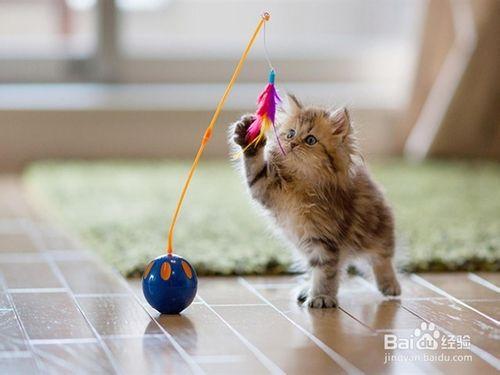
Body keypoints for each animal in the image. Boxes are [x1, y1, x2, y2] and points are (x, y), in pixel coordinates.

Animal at [231, 94, 402, 308]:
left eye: (310, 140)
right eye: (290, 134)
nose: (292, 144)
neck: (302, 183)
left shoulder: (325, 237)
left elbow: (325, 270)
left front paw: (321, 297)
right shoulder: (265, 187)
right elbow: (254, 166)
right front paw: (248, 136)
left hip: (379, 228)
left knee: (382, 258)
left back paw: (390, 285)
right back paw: (307, 289)